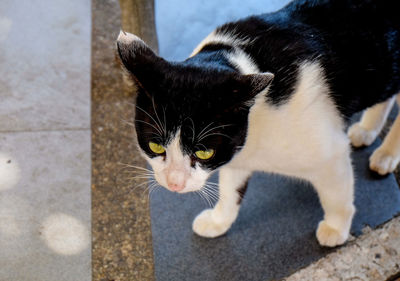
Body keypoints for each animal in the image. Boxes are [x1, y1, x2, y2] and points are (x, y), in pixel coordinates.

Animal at [115, 0, 400, 245]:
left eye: (204, 152)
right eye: (155, 147)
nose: (175, 183)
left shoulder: (330, 152)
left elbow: (336, 196)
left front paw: (336, 229)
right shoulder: (236, 152)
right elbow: (230, 191)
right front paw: (218, 221)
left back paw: (386, 155)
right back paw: (367, 130)